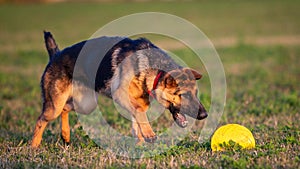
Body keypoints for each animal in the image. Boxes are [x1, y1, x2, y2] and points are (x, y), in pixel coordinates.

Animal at [31, 31, 207, 147]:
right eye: (184, 95)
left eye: (196, 93)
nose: (204, 115)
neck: (152, 69)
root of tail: (55, 55)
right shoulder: (120, 94)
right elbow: (138, 111)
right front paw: (149, 134)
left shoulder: (140, 101)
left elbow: (137, 117)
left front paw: (140, 143)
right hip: (56, 104)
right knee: (41, 120)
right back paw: (34, 146)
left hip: (85, 104)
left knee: (66, 109)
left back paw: (66, 136)